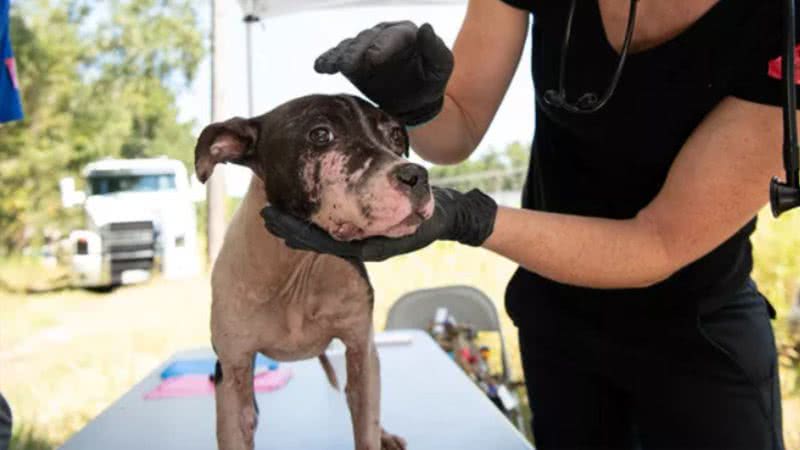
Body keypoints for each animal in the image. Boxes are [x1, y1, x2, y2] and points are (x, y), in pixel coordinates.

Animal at [194, 94, 434, 450]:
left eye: (395, 136)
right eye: (321, 134)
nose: (416, 175)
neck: (299, 266)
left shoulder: (362, 349)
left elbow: (366, 427)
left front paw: (377, 434)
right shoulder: (232, 370)